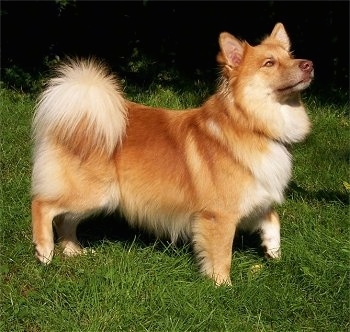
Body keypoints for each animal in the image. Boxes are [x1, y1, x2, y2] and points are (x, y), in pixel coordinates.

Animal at [31, 22, 314, 286]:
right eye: (269, 63)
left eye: (291, 56)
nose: (309, 64)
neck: (251, 125)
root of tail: (74, 116)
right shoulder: (220, 215)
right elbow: (222, 255)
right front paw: (223, 286)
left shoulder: (256, 197)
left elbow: (273, 220)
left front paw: (273, 252)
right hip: (94, 193)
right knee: (43, 205)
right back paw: (44, 252)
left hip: (98, 197)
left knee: (65, 220)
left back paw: (73, 251)